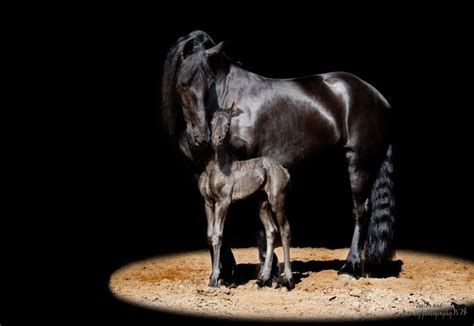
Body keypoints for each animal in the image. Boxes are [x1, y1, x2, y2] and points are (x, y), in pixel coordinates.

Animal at [161, 30, 394, 284]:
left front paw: (266, 272)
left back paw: (350, 266)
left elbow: (257, 225)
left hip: (359, 161)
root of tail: (379, 97)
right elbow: (212, 229)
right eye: (184, 84)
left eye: (209, 83)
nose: (201, 136)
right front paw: (226, 271)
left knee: (361, 210)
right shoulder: (204, 179)